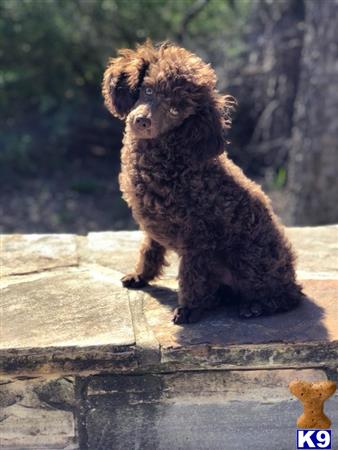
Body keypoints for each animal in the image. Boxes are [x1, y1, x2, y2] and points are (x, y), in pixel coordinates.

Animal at [103, 41, 304, 324]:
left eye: (175, 109)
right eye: (147, 89)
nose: (141, 121)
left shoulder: (198, 238)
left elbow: (191, 277)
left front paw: (188, 309)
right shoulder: (155, 225)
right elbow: (149, 251)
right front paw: (140, 276)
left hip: (249, 258)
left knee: (286, 295)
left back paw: (257, 306)